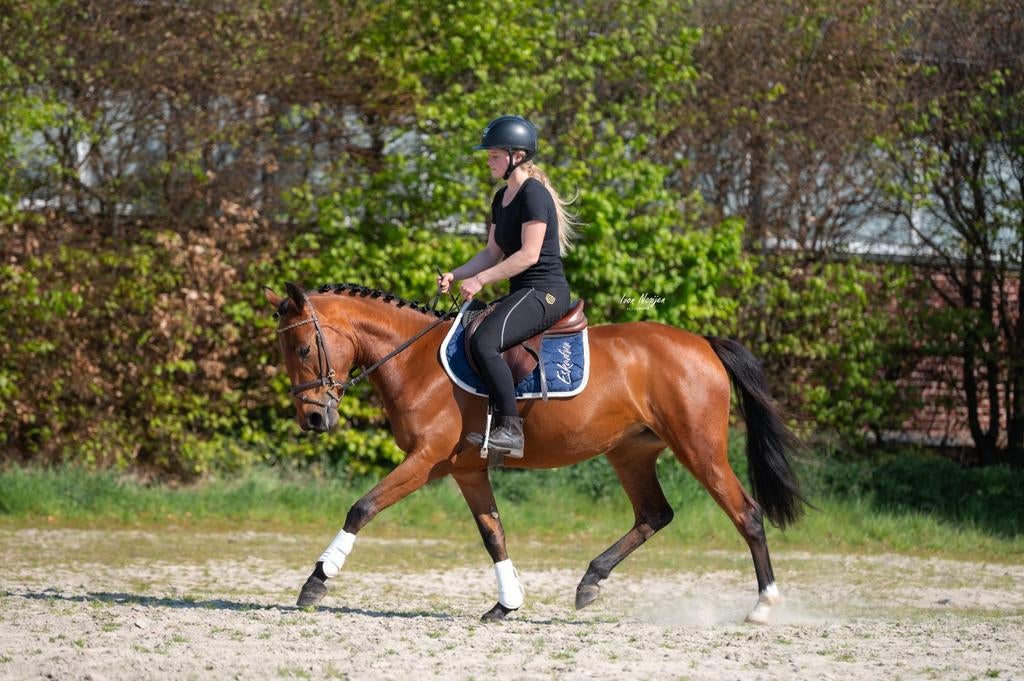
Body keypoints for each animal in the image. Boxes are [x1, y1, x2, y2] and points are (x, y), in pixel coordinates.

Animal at [265, 281, 805, 624]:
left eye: (303, 349)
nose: (313, 420)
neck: (415, 360)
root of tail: (703, 344)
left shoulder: (425, 462)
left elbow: (362, 507)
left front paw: (316, 581)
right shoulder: (466, 470)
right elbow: (494, 535)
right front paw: (507, 604)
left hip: (699, 448)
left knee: (746, 513)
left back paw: (764, 605)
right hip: (630, 454)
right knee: (654, 514)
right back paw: (590, 582)